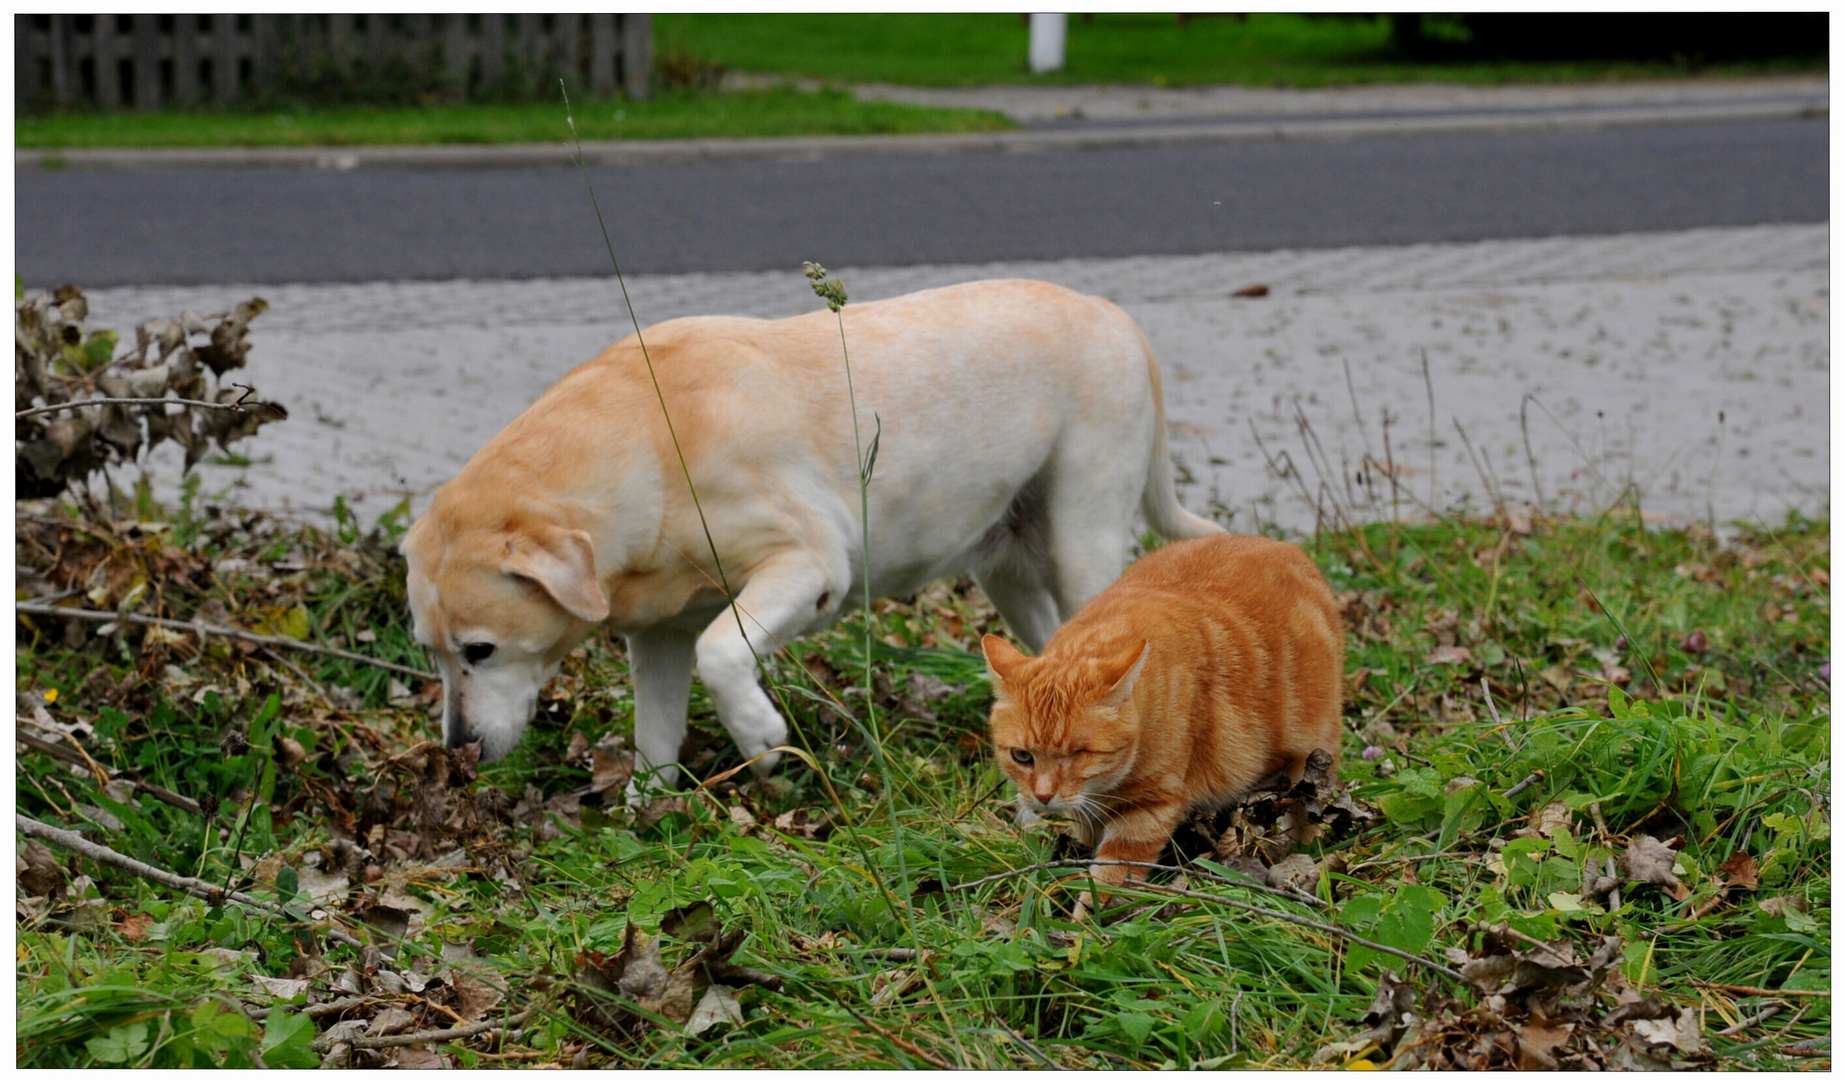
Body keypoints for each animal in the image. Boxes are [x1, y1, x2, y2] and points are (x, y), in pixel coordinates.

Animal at [400, 282, 1225, 779]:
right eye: (432, 653)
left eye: (481, 651)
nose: (457, 753)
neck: (651, 439)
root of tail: (1113, 313)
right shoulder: (656, 638)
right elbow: (655, 738)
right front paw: (647, 818)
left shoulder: (806, 565)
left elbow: (721, 652)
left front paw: (760, 739)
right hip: (1009, 573)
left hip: (1082, 541)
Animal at [981, 531, 1343, 900]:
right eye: (1022, 756)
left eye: (1079, 754)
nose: (1042, 796)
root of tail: (1285, 547)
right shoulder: (1088, 811)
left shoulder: (1148, 809)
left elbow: (1110, 881)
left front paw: (1084, 913)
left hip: (1310, 759)